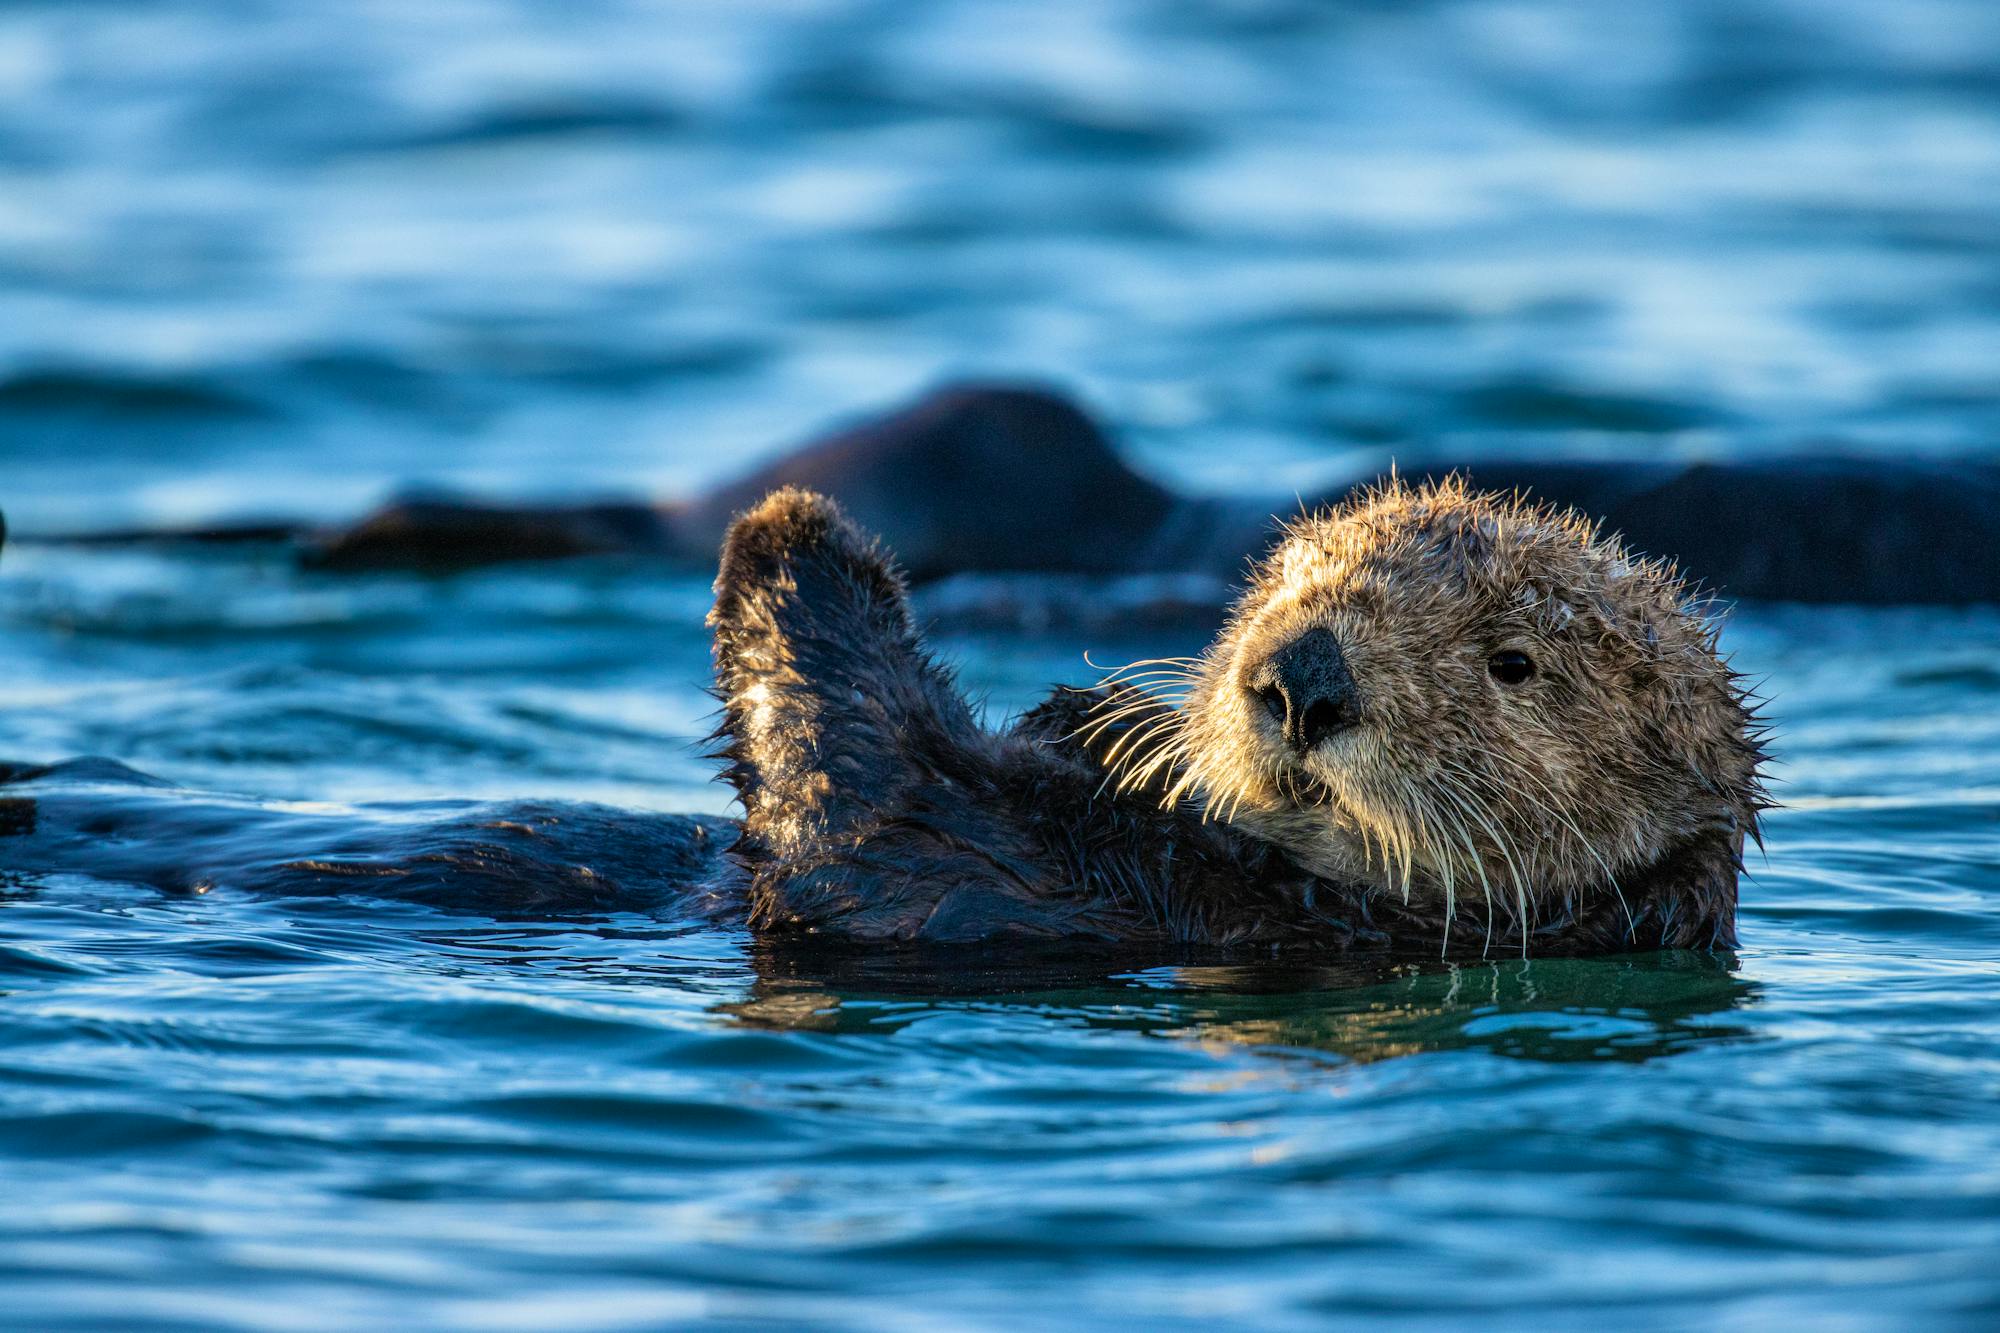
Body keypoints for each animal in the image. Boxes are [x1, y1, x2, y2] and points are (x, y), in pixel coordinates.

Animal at [704, 482, 1768, 948]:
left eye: (1513, 663)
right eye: (1290, 582)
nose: (1303, 677)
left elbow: (860, 791)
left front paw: (788, 524)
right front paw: (1096, 715)